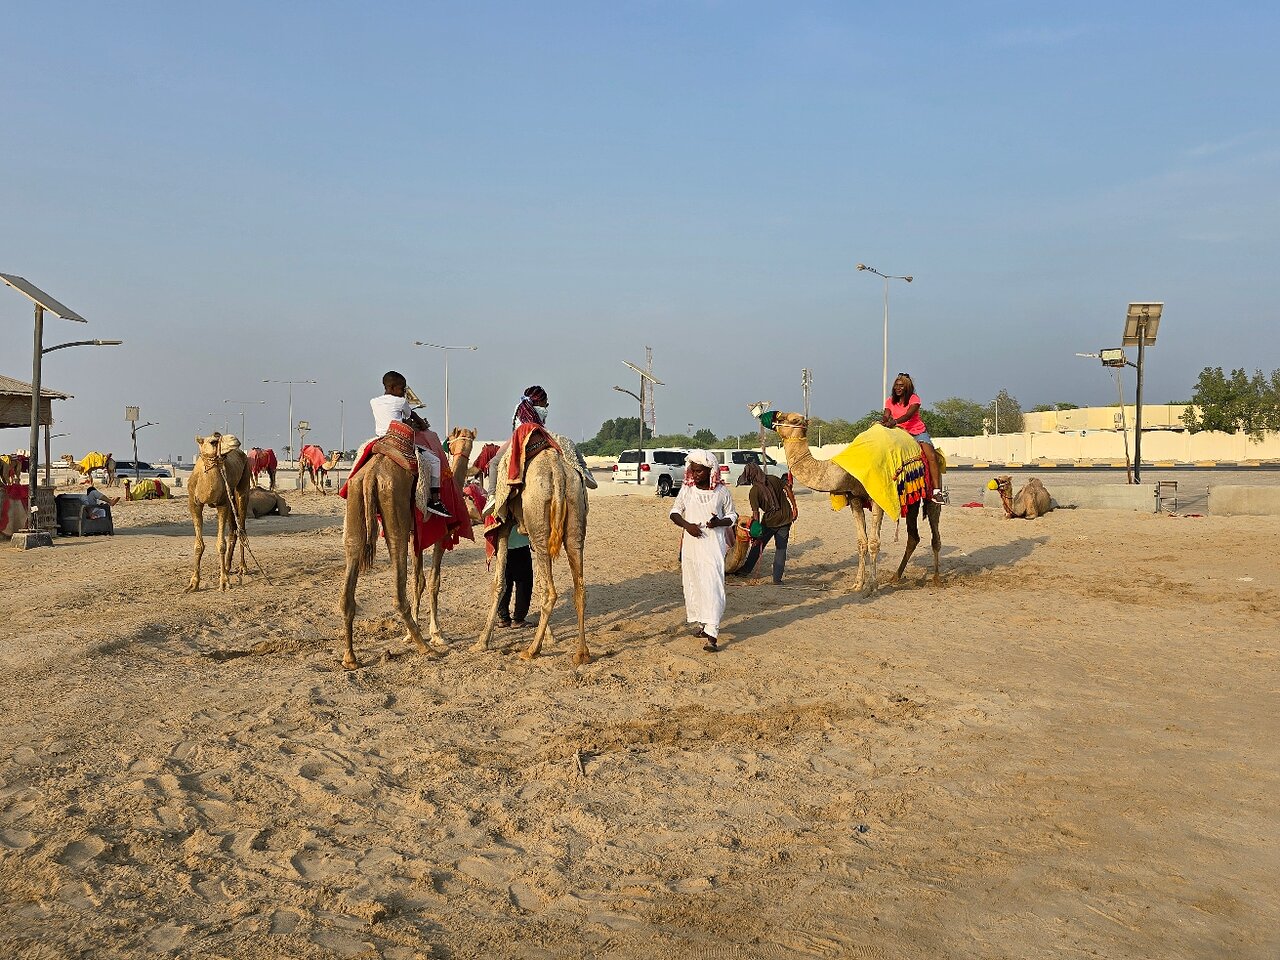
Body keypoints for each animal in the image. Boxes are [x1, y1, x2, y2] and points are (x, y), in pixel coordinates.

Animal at [185, 434, 251, 593]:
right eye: (213, 441)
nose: (234, 439)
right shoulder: (194, 504)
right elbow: (198, 545)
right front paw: (193, 584)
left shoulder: (222, 504)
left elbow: (221, 544)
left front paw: (224, 582)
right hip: (231, 493)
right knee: (233, 529)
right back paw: (227, 566)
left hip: (243, 486)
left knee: (242, 528)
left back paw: (242, 568)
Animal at [474, 434, 591, 665]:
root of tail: (557, 471)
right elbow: (535, 582)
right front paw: (551, 637)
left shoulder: (504, 525)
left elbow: (499, 583)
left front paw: (481, 642)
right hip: (574, 515)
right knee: (578, 587)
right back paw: (582, 653)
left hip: (539, 525)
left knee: (550, 592)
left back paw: (531, 650)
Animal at [768, 412, 943, 593]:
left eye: (794, 420)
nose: (773, 417)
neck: (847, 471)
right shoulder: (854, 498)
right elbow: (861, 542)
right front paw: (858, 584)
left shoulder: (878, 497)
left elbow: (873, 542)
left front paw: (872, 586)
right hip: (911, 499)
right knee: (913, 536)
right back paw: (896, 576)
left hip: (932, 485)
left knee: (934, 532)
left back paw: (936, 579)